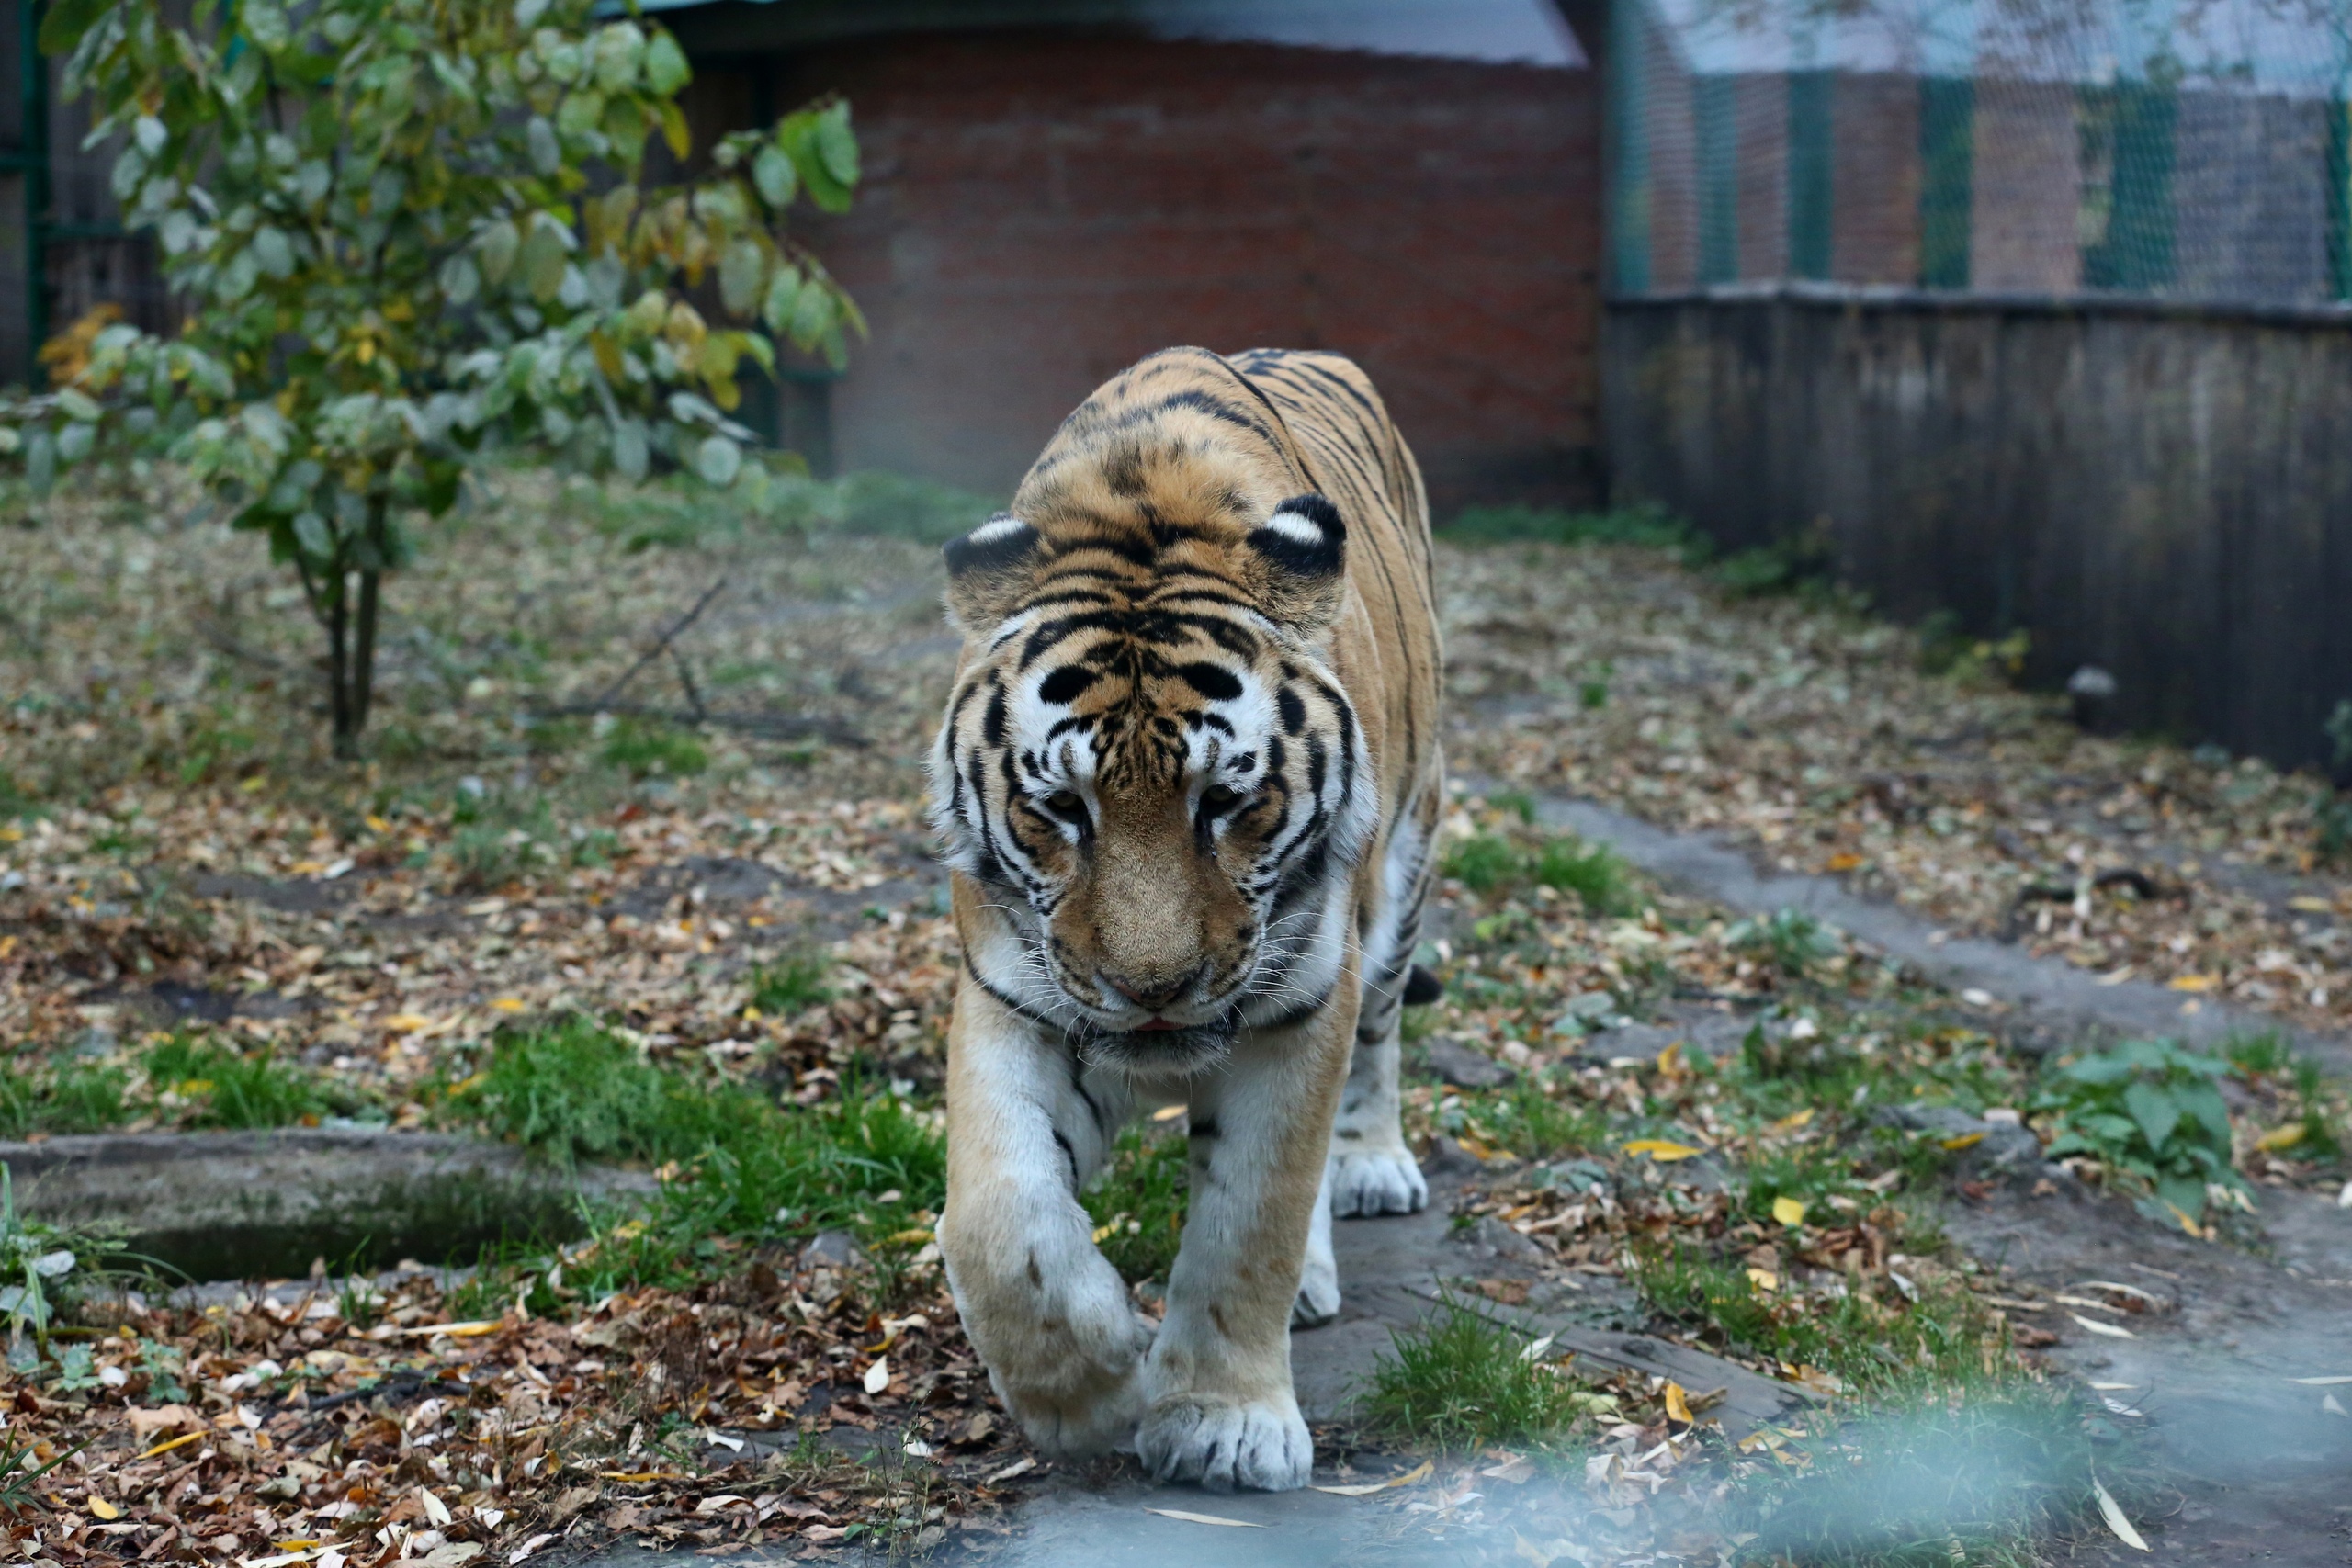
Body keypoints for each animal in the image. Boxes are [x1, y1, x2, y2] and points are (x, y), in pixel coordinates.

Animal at [926, 345, 1439, 1495]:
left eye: (1225, 801)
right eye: (1060, 808)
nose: (1153, 991)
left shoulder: (1304, 1002)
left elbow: (1251, 1218)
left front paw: (1223, 1427)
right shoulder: (1015, 995)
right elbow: (998, 1218)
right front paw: (1091, 1386)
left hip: (1405, 869)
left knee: (1378, 1042)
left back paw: (1371, 1171)